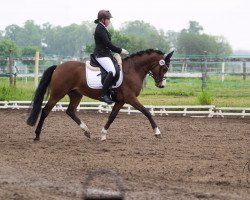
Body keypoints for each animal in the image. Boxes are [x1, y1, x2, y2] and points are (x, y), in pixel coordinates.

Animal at [25, 49, 174, 141]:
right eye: (164, 67)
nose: (162, 85)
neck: (133, 70)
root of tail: (58, 67)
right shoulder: (130, 98)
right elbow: (146, 112)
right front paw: (157, 132)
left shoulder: (121, 101)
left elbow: (112, 117)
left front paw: (103, 135)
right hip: (58, 93)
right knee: (45, 111)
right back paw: (37, 136)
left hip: (76, 94)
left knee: (70, 111)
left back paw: (86, 131)